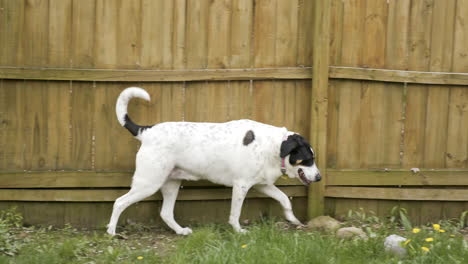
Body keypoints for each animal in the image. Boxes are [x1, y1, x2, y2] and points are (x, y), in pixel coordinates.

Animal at [106, 86, 320, 235]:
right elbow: (235, 214)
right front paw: (238, 231)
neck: (273, 146)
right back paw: (111, 232)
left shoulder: (262, 185)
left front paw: (293, 219)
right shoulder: (241, 185)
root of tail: (147, 131)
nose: (319, 178)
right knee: (119, 202)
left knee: (165, 213)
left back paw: (180, 231)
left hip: (171, 184)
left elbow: (284, 199)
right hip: (149, 183)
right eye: (307, 159)